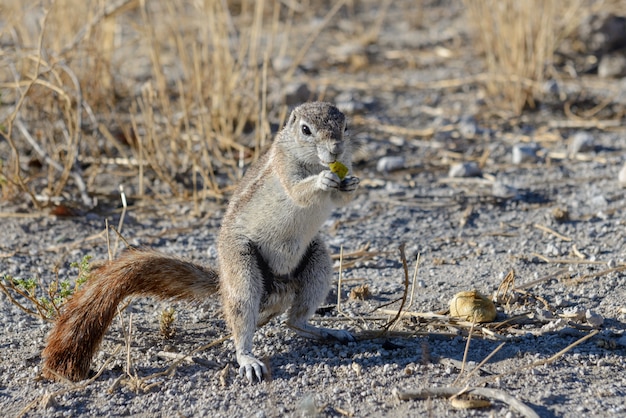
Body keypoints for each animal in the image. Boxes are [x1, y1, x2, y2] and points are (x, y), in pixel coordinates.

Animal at [41, 101, 358, 382]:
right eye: (306, 130)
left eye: (345, 126)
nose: (336, 148)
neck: (313, 162)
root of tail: (276, 290)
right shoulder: (283, 167)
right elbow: (297, 191)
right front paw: (322, 181)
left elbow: (341, 199)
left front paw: (351, 183)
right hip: (241, 267)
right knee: (246, 318)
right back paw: (248, 358)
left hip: (318, 261)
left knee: (294, 321)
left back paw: (331, 332)